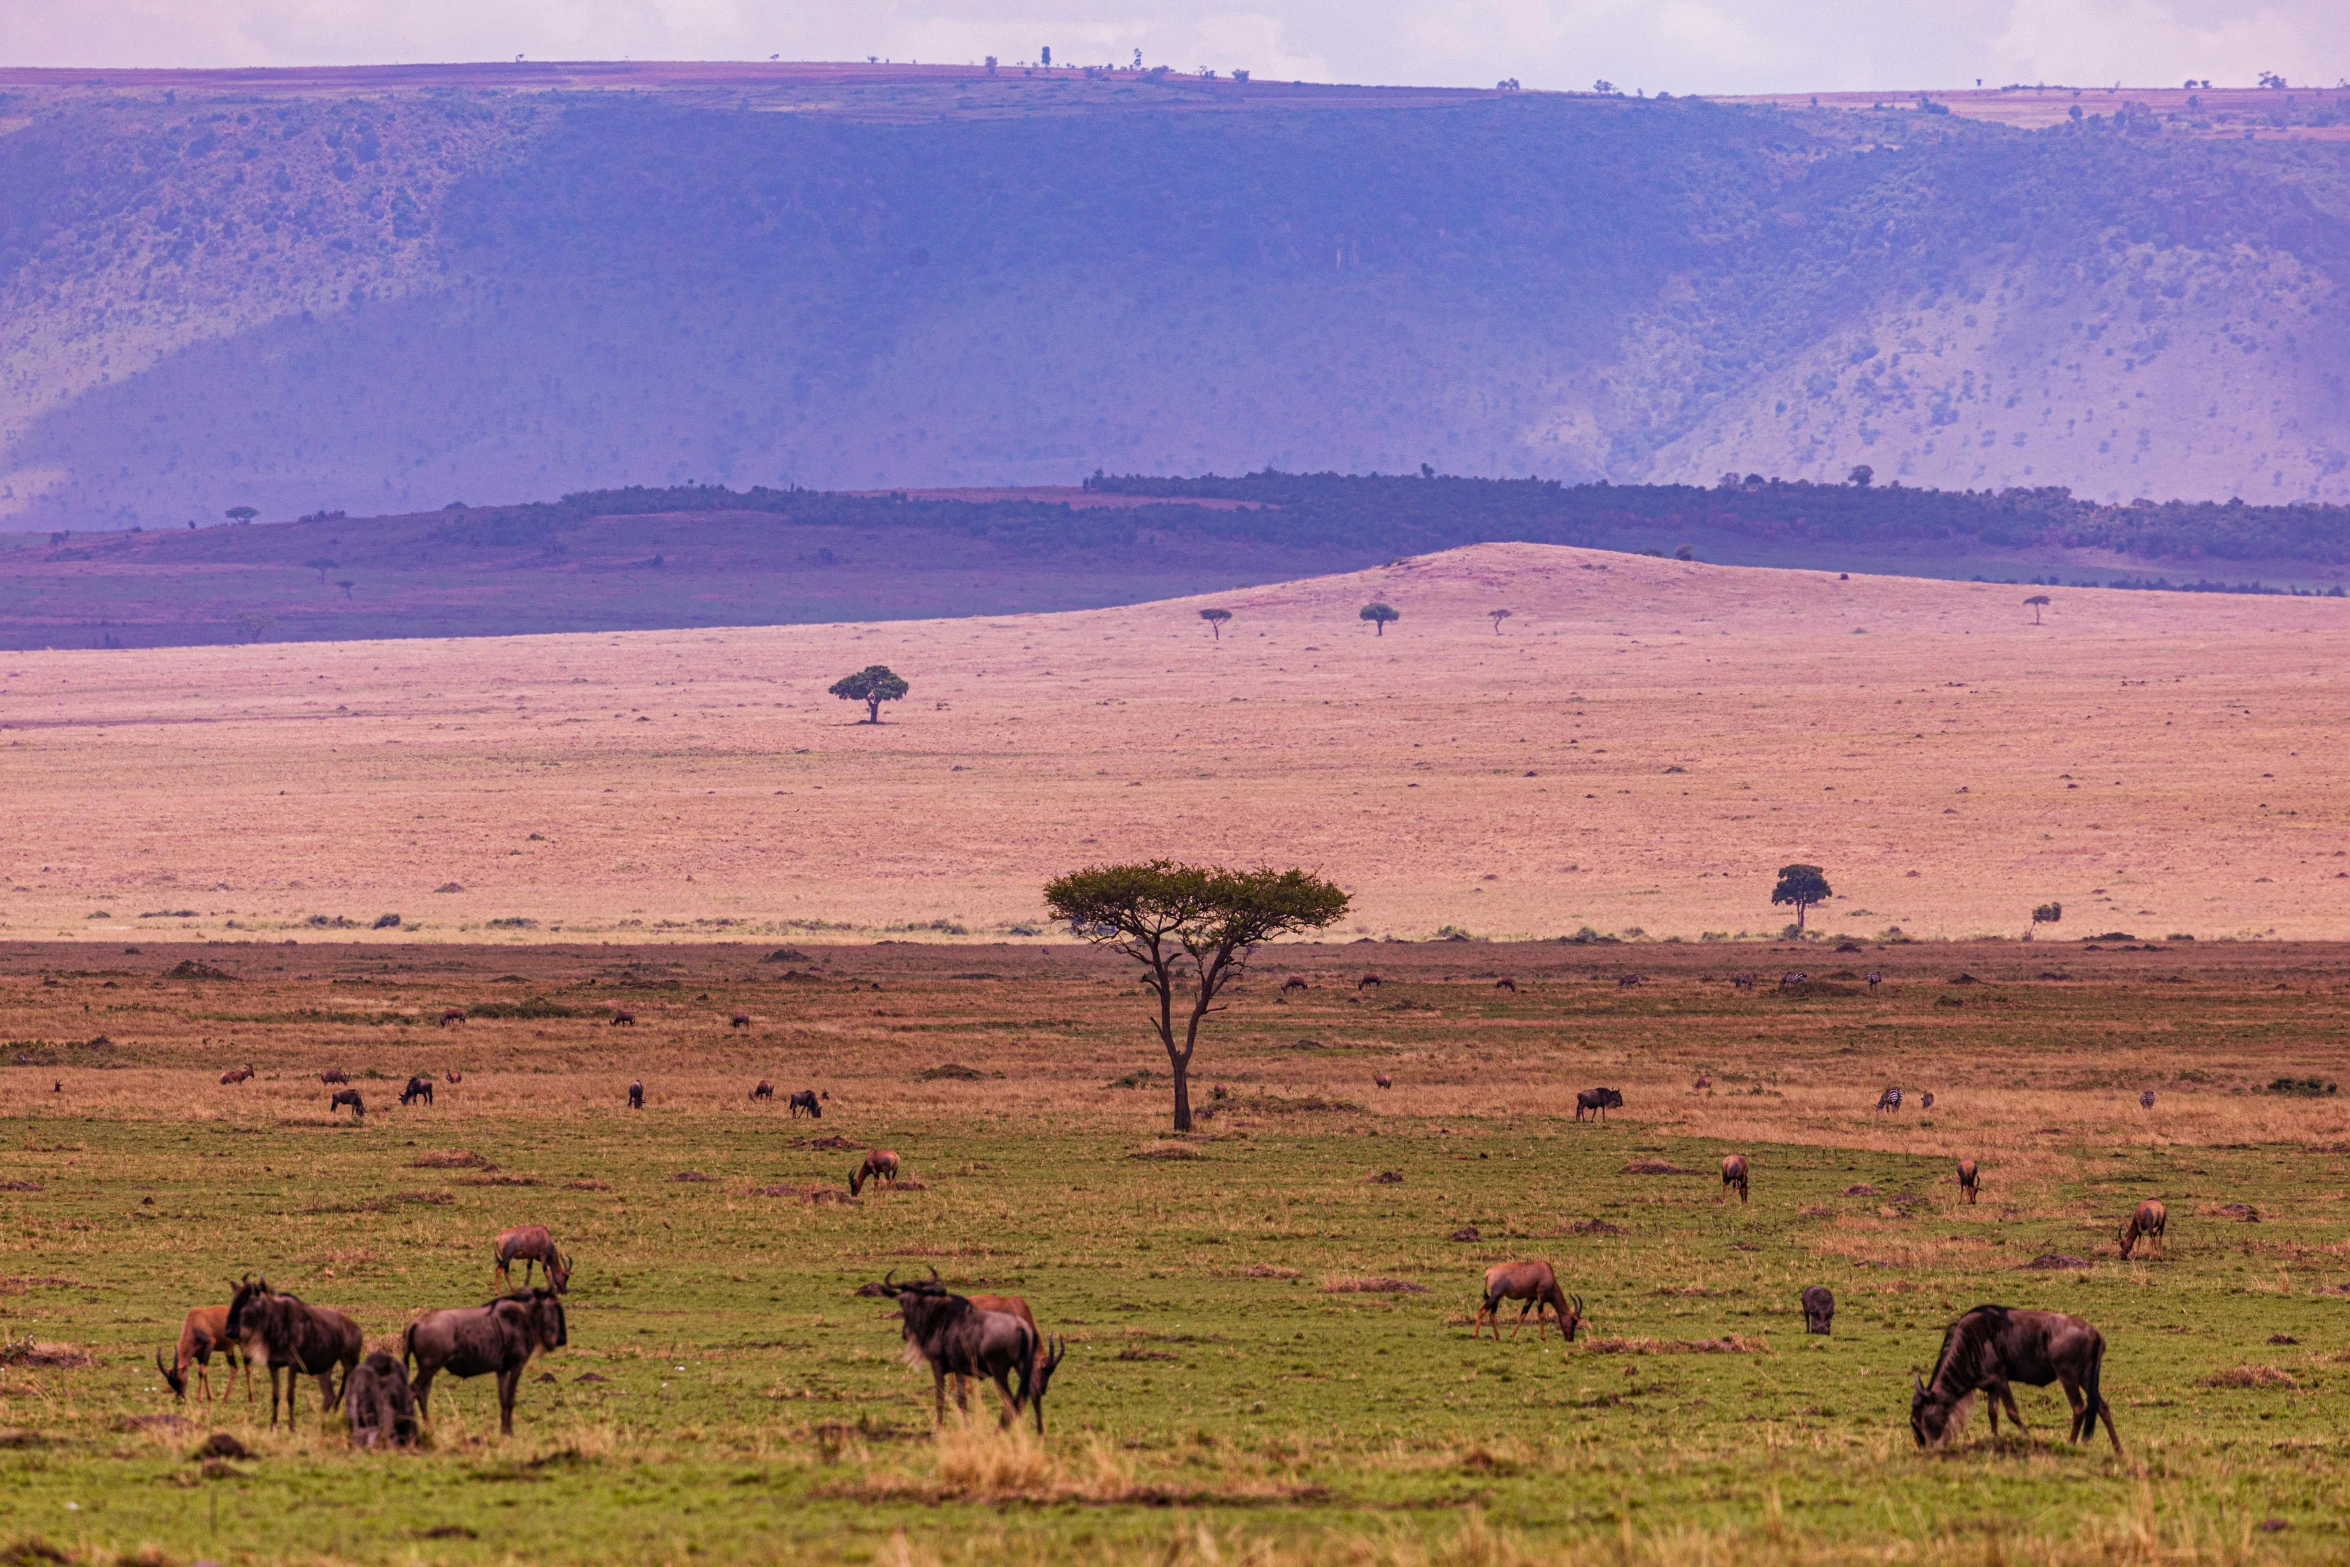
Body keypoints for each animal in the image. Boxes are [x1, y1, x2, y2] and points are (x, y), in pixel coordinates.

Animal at [1917, 1306, 2124, 1456]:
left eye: (1923, 1419)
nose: (1930, 1448)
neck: (1969, 1345)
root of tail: (2096, 1334)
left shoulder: (2000, 1379)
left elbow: (2012, 1412)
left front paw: (2029, 1440)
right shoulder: (1992, 1385)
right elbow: (1992, 1413)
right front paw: (1994, 1441)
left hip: (2068, 1376)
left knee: (2079, 1408)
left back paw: (2070, 1444)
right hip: (2086, 1377)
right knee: (2102, 1406)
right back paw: (2118, 1450)